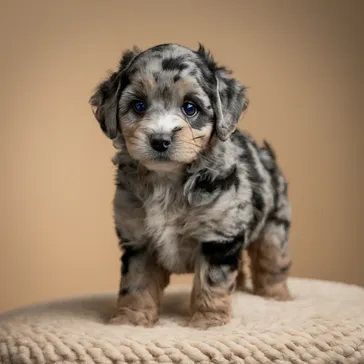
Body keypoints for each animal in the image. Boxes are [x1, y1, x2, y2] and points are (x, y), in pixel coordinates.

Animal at [89, 43, 292, 330]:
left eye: (190, 107)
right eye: (138, 105)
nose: (160, 140)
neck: (167, 182)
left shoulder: (218, 236)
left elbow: (213, 281)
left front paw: (208, 321)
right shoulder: (138, 240)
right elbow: (136, 283)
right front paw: (131, 319)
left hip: (274, 225)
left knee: (272, 261)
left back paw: (277, 297)